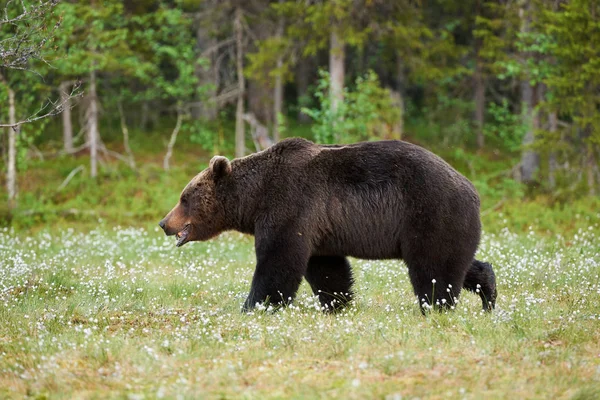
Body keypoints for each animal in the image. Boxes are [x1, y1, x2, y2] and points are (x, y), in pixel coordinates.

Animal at [159, 138, 496, 312]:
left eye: (185, 197)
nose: (164, 223)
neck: (254, 198)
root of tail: (472, 189)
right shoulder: (319, 227)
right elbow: (326, 268)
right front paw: (337, 302)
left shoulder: (289, 206)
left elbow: (277, 261)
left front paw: (254, 304)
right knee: (458, 262)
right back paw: (488, 293)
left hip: (429, 211)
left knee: (433, 269)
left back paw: (436, 306)